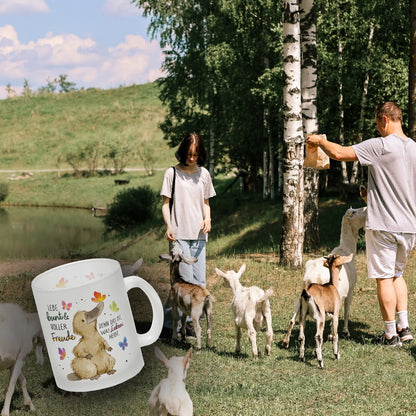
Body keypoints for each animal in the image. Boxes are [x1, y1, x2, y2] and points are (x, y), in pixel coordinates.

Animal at [282, 204, 366, 348]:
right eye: (354, 211)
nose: (366, 208)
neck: (346, 250)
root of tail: (312, 275)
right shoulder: (349, 291)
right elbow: (347, 311)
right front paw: (343, 332)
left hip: (300, 297)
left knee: (293, 319)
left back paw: (286, 341)